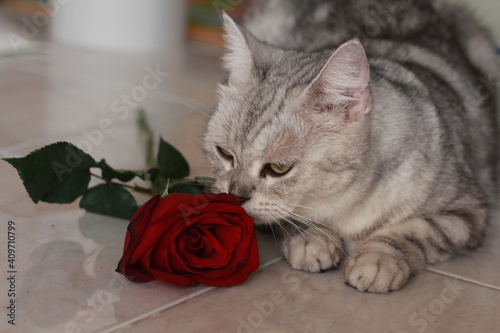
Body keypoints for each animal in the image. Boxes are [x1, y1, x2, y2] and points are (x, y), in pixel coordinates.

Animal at [202, 0, 496, 290]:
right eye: (225, 153)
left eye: (279, 168)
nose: (235, 196)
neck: (352, 201)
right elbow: (291, 217)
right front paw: (312, 239)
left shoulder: (466, 211)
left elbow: (414, 231)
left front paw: (377, 259)